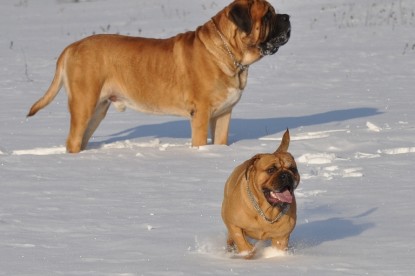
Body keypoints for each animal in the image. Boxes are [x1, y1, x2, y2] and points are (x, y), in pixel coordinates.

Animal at [27, 0, 290, 152]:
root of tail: (72, 46)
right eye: (268, 14)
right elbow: (200, 141)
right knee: (73, 139)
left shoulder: (224, 113)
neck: (229, 53)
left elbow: (221, 140)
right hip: (84, 103)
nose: (287, 17)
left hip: (97, 109)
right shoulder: (201, 113)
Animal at [223, 129, 300, 258]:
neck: (267, 210)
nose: (286, 175)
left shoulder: (281, 236)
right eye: (271, 170)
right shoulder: (234, 224)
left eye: (293, 169)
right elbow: (241, 240)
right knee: (231, 238)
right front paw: (248, 252)